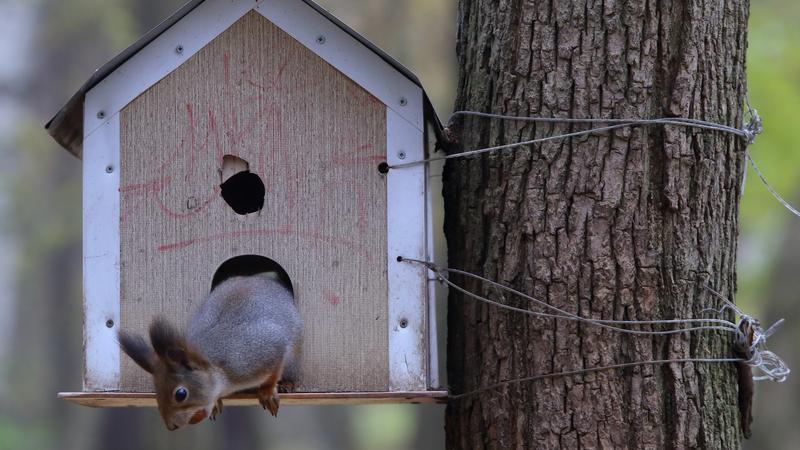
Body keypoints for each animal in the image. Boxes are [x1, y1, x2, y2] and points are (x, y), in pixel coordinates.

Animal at [119, 274, 304, 428]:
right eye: (156, 390)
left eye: (181, 394)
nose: (172, 426)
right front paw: (215, 403)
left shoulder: (259, 352)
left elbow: (274, 367)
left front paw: (267, 392)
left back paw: (287, 384)